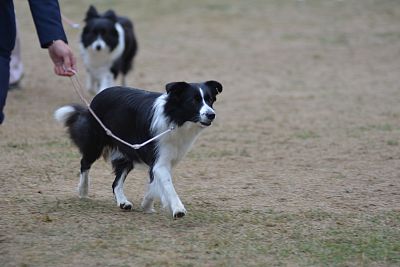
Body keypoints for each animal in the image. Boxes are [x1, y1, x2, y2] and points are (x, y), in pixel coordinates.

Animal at [54, 80, 222, 219]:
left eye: (210, 100)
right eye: (193, 101)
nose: (211, 115)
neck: (175, 118)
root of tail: (98, 95)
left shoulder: (165, 160)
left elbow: (154, 185)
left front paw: (147, 204)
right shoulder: (159, 160)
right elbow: (167, 184)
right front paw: (177, 208)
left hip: (127, 153)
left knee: (116, 183)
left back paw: (123, 202)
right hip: (95, 143)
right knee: (85, 164)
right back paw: (83, 191)